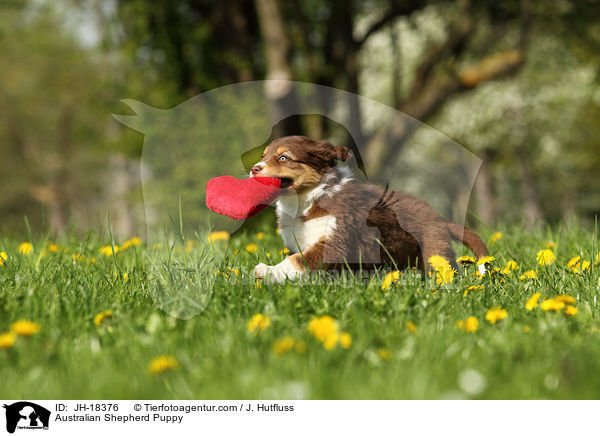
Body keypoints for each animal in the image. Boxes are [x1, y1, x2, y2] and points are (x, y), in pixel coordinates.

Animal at [248, 135, 488, 282]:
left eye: (283, 157)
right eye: (263, 156)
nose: (253, 169)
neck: (307, 200)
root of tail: (439, 218)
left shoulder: (334, 241)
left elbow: (296, 261)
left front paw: (265, 271)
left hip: (434, 251)